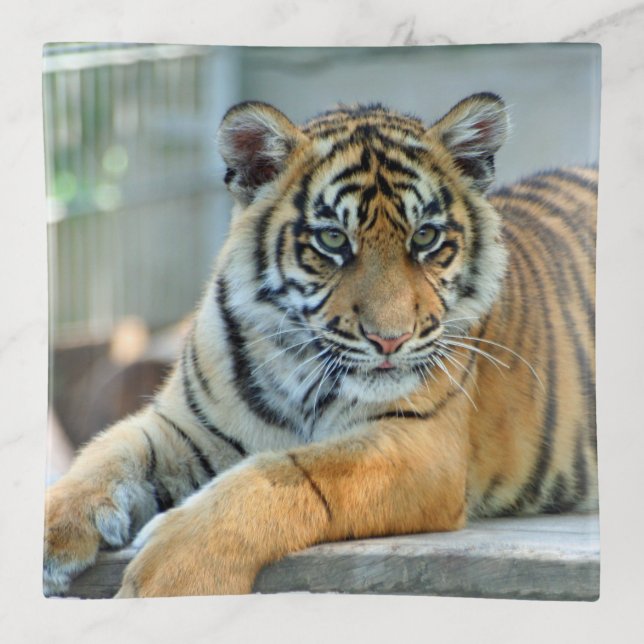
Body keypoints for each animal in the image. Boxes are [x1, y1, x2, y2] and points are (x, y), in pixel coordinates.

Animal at [43, 93, 598, 598]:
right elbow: (103, 456)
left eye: (425, 237)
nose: (390, 339)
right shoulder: (184, 426)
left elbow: (286, 474)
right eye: (332, 240)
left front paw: (168, 576)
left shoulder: (420, 445)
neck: (297, 366)